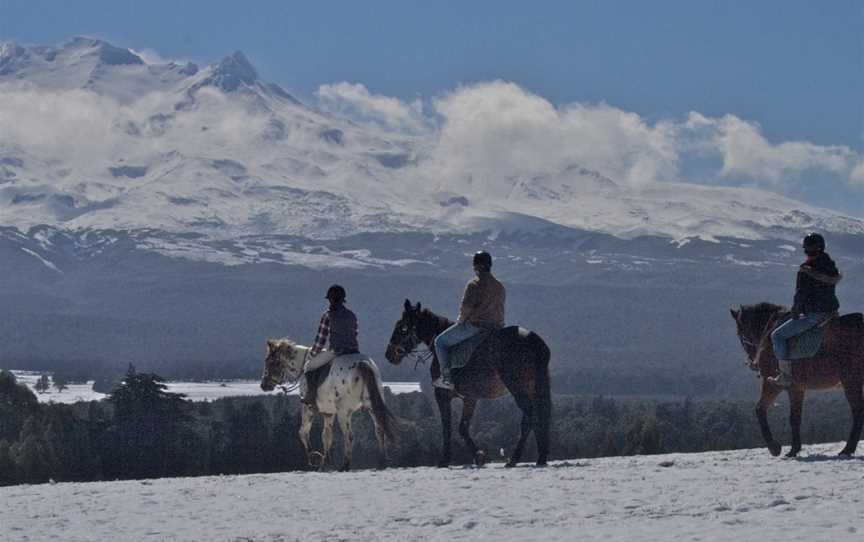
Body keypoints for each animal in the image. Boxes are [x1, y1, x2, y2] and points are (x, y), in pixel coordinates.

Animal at [260, 340, 394, 472]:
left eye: (270, 362)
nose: (263, 385)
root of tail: (362, 363)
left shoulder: (308, 408)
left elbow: (303, 432)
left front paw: (314, 458)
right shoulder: (329, 413)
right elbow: (326, 436)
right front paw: (326, 463)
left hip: (343, 412)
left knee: (349, 435)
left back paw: (345, 465)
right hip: (371, 407)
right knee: (379, 430)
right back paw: (381, 462)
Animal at [386, 300, 552, 470]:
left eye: (403, 327)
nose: (389, 354)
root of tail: (534, 340)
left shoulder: (442, 395)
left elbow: (447, 427)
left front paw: (446, 460)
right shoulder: (470, 398)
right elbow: (463, 428)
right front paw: (479, 456)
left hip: (516, 386)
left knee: (529, 417)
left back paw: (514, 459)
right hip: (532, 387)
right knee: (538, 416)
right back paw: (540, 457)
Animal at [728, 302, 864, 460]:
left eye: (740, 334)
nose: (753, 363)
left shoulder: (773, 384)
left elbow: (761, 409)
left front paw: (775, 448)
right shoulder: (797, 389)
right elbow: (795, 417)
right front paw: (794, 449)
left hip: (851, 381)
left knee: (858, 412)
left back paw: (847, 449)